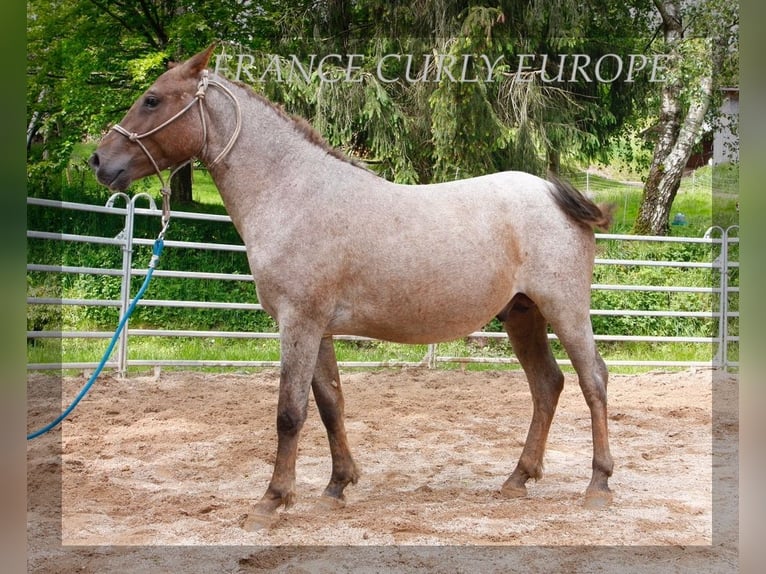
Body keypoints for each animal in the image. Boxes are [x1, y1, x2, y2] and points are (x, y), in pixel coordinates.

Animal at [90, 45, 616, 532]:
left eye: (152, 99)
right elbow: (330, 405)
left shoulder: (299, 323)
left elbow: (289, 412)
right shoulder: (318, 328)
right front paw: (337, 486)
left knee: (592, 380)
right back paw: (518, 478)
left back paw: (598, 485)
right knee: (547, 385)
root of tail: (557, 195)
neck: (293, 192)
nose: (99, 160)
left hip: (565, 309)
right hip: (523, 314)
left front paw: (271, 500)